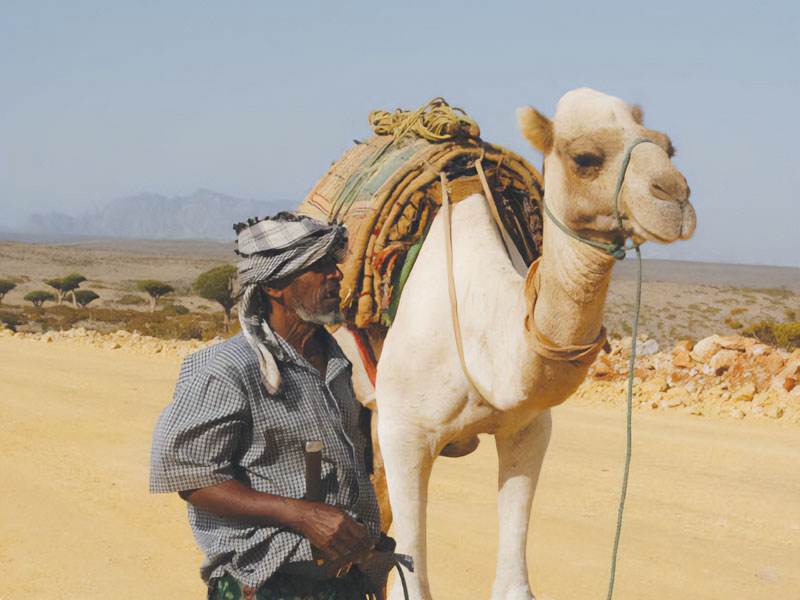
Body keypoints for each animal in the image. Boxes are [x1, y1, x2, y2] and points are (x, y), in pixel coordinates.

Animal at [332, 88, 692, 600]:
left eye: (667, 147)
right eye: (586, 158)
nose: (676, 197)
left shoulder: (529, 429)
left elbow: (513, 583)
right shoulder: (405, 432)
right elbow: (412, 582)